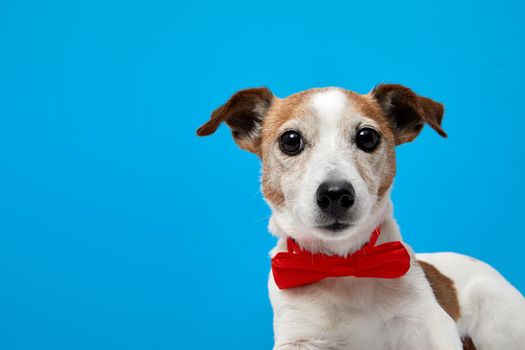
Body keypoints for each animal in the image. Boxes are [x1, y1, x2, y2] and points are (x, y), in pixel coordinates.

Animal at [196, 85, 524, 350]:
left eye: (367, 137)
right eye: (290, 140)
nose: (335, 194)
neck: (343, 264)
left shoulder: (429, 325)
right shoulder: (299, 336)